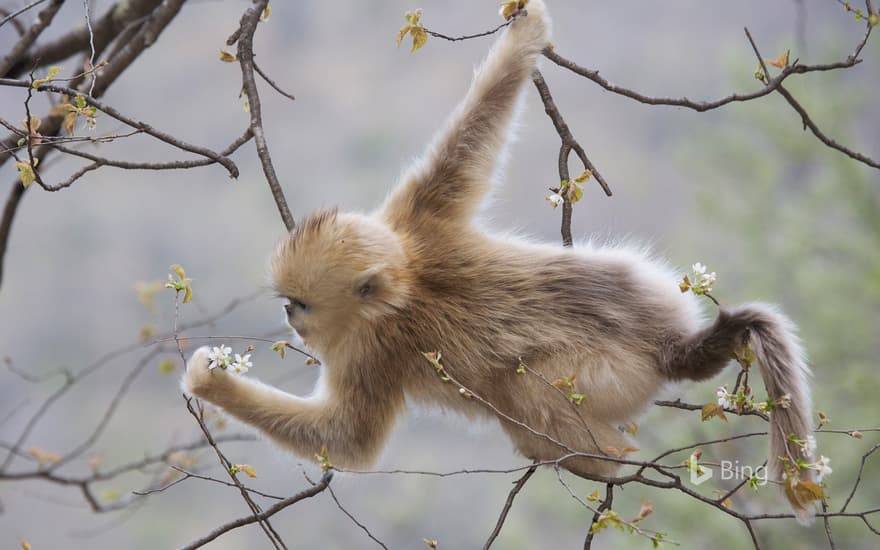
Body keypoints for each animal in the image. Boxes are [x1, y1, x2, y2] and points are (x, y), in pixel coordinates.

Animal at [184, 0, 820, 524]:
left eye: (302, 305)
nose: (290, 319)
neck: (406, 277)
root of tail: (669, 346)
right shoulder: (416, 217)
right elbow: (472, 136)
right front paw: (527, 29)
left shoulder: (372, 349)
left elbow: (347, 440)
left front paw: (210, 382)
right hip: (648, 282)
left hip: (602, 376)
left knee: (524, 389)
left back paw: (602, 459)